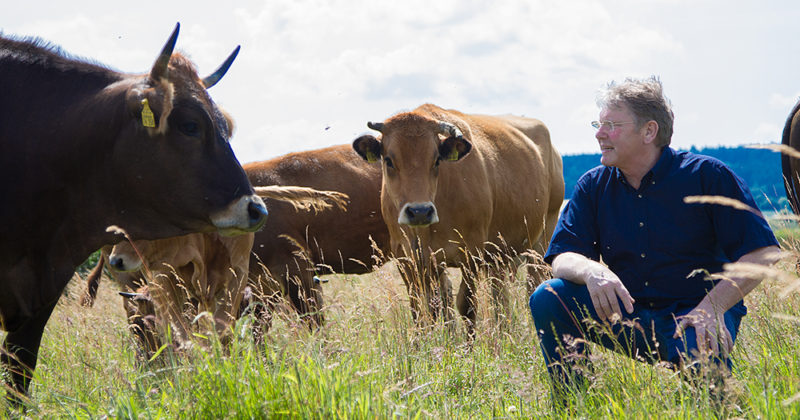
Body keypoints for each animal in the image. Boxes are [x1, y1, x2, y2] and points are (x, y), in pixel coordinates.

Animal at [350, 103, 564, 330]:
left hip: (543, 238)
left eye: (436, 160)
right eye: (389, 161)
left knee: (534, 284)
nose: (419, 211)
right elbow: (422, 308)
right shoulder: (407, 256)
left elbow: (466, 305)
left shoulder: (471, 251)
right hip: (499, 255)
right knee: (499, 295)